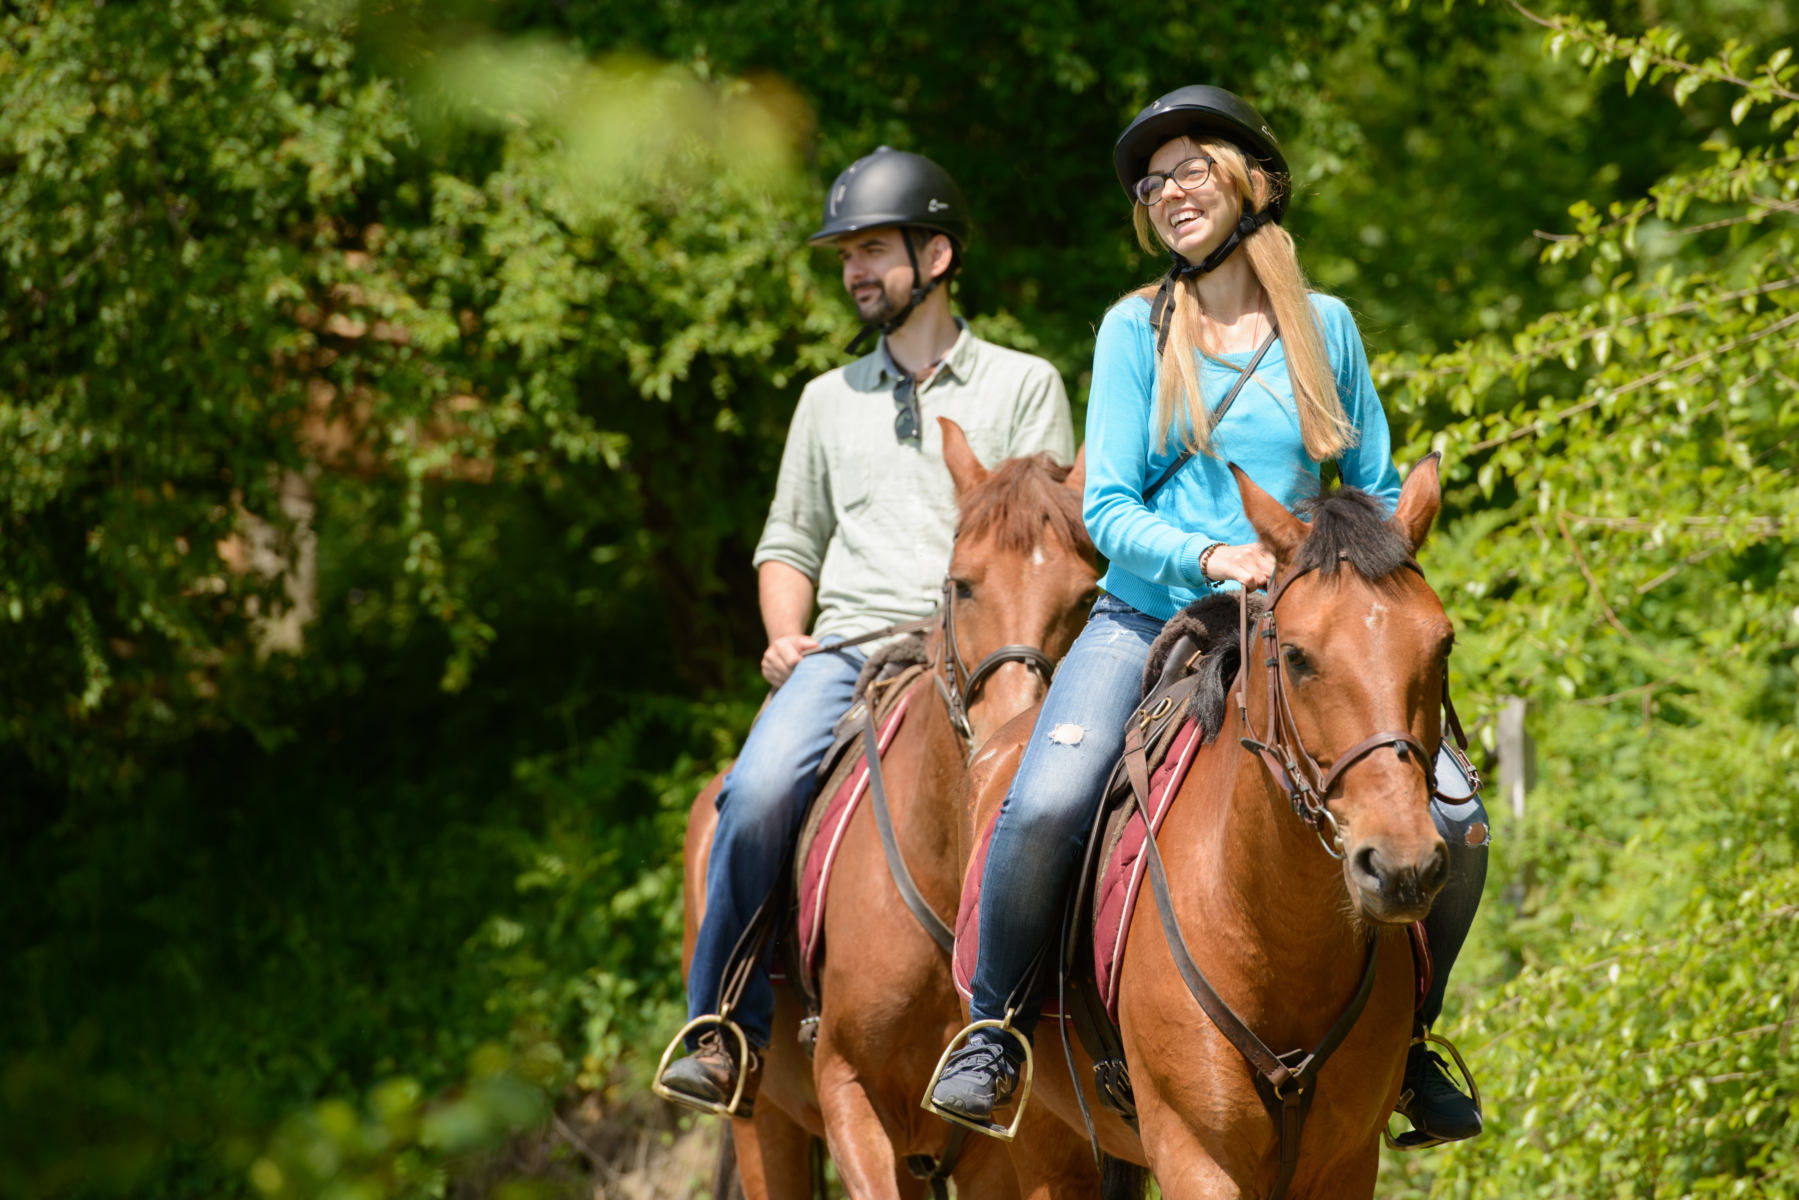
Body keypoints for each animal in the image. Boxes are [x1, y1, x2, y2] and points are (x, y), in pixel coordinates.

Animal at [676, 417, 1093, 1194]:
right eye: (963, 586)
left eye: (1087, 595)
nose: (1014, 734)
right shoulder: (848, 1097)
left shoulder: (1000, 1152)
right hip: (764, 1125)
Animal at [964, 455, 1453, 1194]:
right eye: (1298, 656)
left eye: (1443, 645)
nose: (1402, 867)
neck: (1278, 931)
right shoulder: (1197, 1157)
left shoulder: (1346, 1162)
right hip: (1047, 1141)